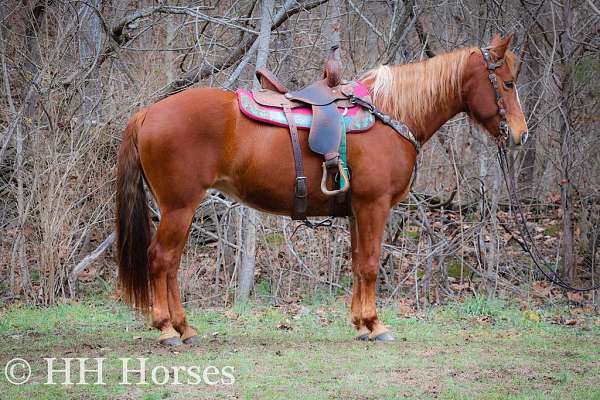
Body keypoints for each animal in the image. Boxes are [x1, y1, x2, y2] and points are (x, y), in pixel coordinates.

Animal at [115, 32, 528, 346]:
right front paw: (376, 324)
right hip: (180, 206)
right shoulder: (374, 205)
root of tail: (148, 112)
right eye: (508, 83)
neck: (392, 113)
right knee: (162, 260)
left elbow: (359, 263)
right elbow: (371, 264)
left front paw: (361, 324)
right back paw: (168, 329)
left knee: (171, 265)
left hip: (180, 209)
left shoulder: (358, 210)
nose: (521, 135)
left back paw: (185, 328)